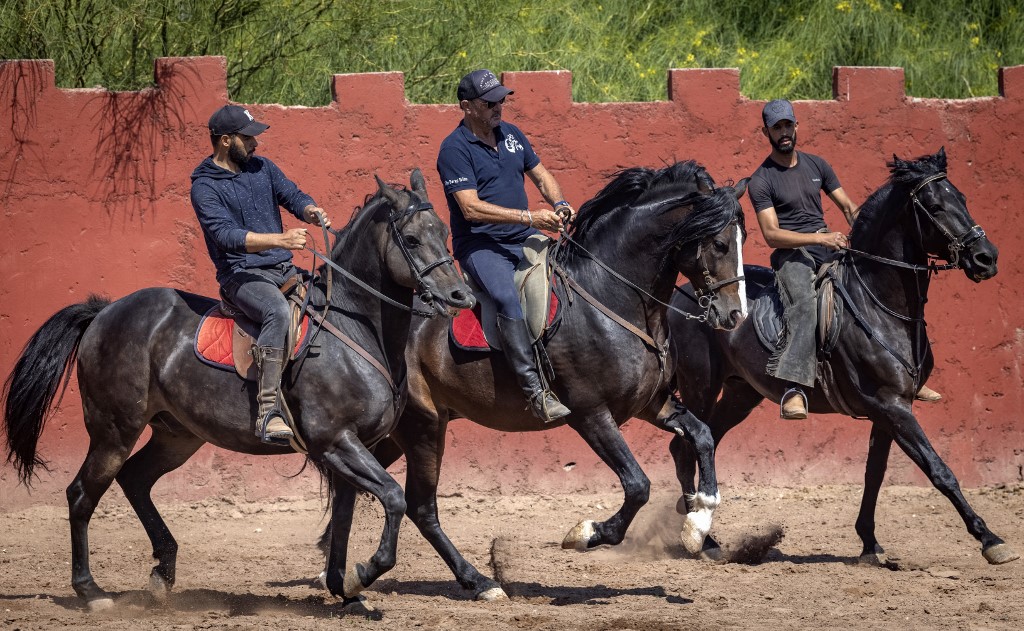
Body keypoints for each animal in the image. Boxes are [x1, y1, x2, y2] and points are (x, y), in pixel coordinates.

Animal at [2, 169, 475, 610]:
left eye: (444, 232)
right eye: (411, 239)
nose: (461, 296)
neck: (352, 328)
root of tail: (103, 313)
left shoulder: (352, 448)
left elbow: (344, 516)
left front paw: (344, 589)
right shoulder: (337, 441)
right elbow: (394, 498)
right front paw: (363, 575)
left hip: (176, 435)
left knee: (135, 479)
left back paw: (162, 572)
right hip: (113, 432)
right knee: (81, 495)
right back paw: (91, 591)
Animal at [319, 159, 753, 598]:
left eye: (743, 238)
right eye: (719, 244)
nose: (735, 315)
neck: (611, 296)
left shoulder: (654, 404)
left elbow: (702, 436)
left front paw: (698, 524)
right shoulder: (591, 414)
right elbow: (637, 485)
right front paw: (586, 533)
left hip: (403, 429)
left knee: (366, 488)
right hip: (421, 425)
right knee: (419, 505)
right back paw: (463, 580)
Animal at [671, 149, 1015, 565]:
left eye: (962, 199)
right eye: (934, 206)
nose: (986, 257)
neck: (879, 304)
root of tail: (683, 296)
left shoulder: (888, 409)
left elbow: (874, 473)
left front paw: (869, 543)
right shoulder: (892, 405)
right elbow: (939, 470)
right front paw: (990, 539)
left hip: (741, 393)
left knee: (707, 440)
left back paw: (704, 527)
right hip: (700, 387)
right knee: (685, 445)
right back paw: (703, 538)